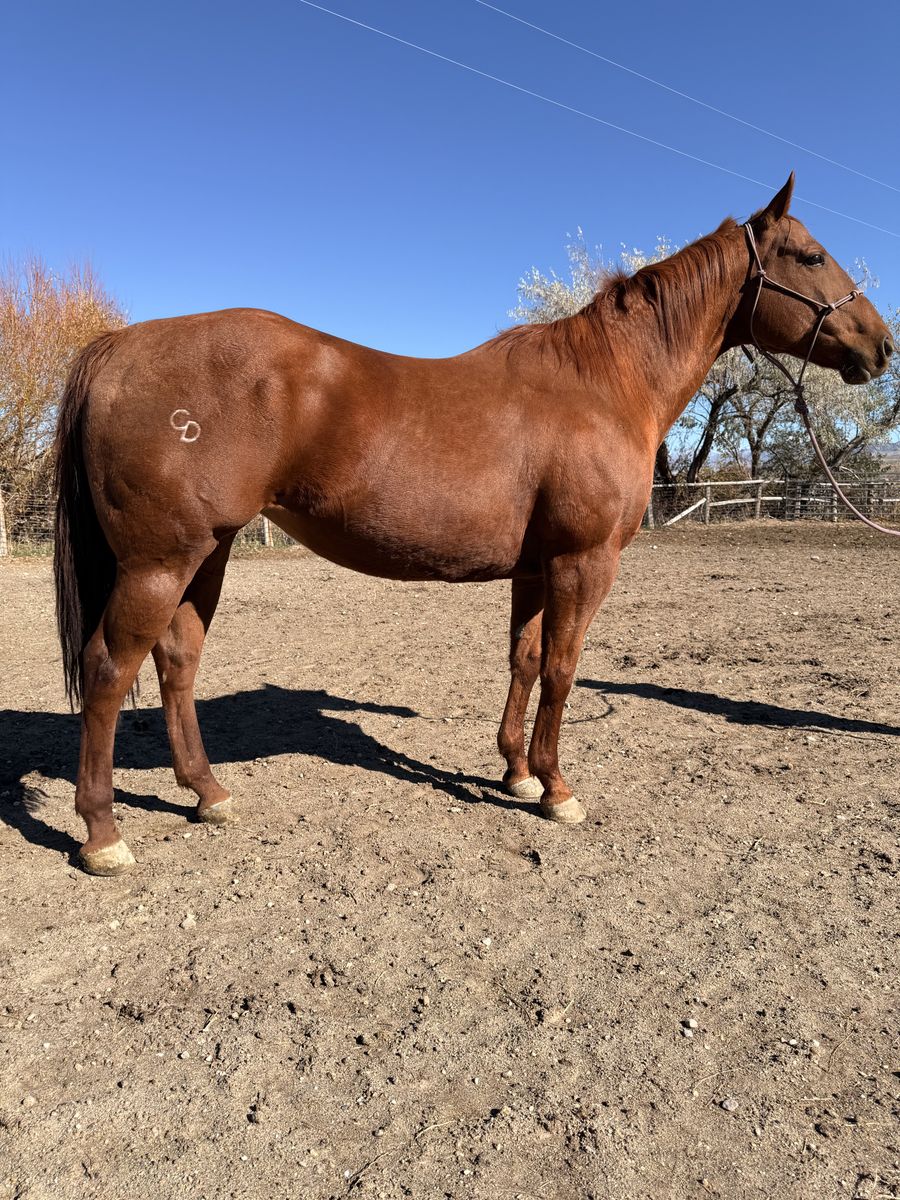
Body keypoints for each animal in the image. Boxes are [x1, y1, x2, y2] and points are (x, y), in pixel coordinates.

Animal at [53, 173, 893, 875]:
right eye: (811, 256)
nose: (882, 345)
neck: (601, 384)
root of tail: (118, 347)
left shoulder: (535, 568)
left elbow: (524, 661)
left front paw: (516, 773)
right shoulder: (584, 562)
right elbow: (563, 668)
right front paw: (557, 789)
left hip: (206, 554)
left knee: (177, 662)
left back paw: (209, 793)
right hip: (160, 562)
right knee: (109, 669)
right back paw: (103, 835)